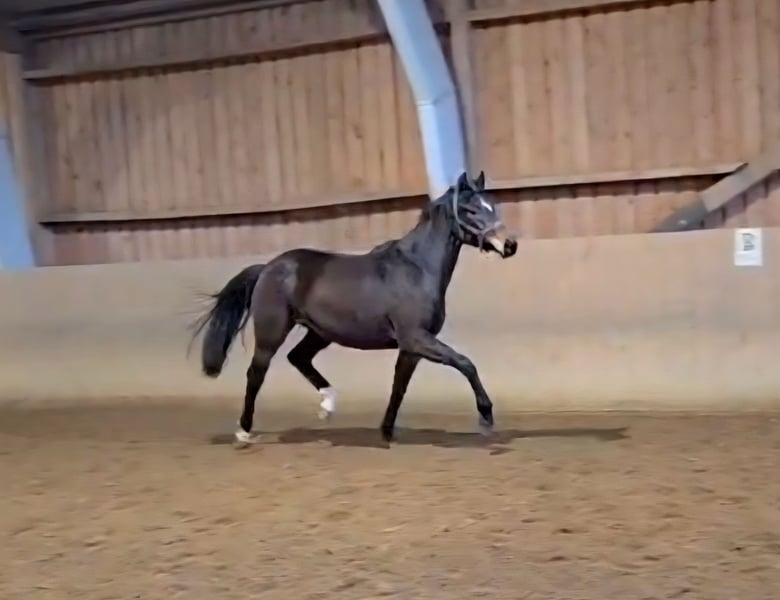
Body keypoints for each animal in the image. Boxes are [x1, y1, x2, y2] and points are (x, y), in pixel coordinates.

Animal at [190, 171, 518, 447]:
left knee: (298, 358)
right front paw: (486, 418)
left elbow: (399, 387)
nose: (509, 245)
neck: (417, 269)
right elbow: (465, 363)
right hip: (272, 332)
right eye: (470, 210)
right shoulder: (416, 338)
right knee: (256, 373)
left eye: (493, 206)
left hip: (320, 332)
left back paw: (328, 405)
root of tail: (268, 268)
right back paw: (244, 431)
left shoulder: (411, 347)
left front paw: (386, 432)